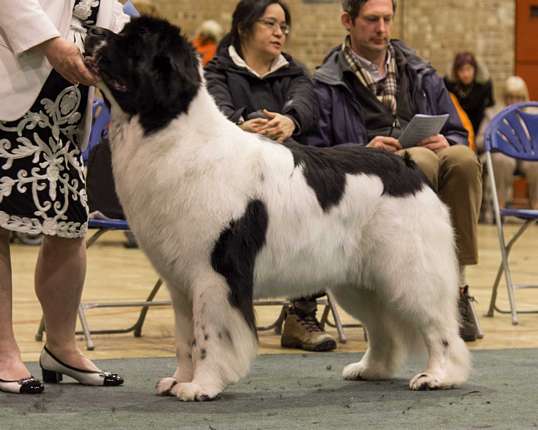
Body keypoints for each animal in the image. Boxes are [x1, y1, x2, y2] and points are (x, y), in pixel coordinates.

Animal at [85, 15, 468, 400]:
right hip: (359, 280)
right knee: (383, 329)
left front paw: (202, 386)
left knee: (438, 326)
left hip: (408, 270)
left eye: (134, 42)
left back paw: (439, 376)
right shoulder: (180, 282)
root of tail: (407, 163)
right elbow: (185, 338)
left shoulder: (215, 273)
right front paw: (179, 380)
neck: (170, 129)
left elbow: (209, 336)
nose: (91, 30)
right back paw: (370, 369)